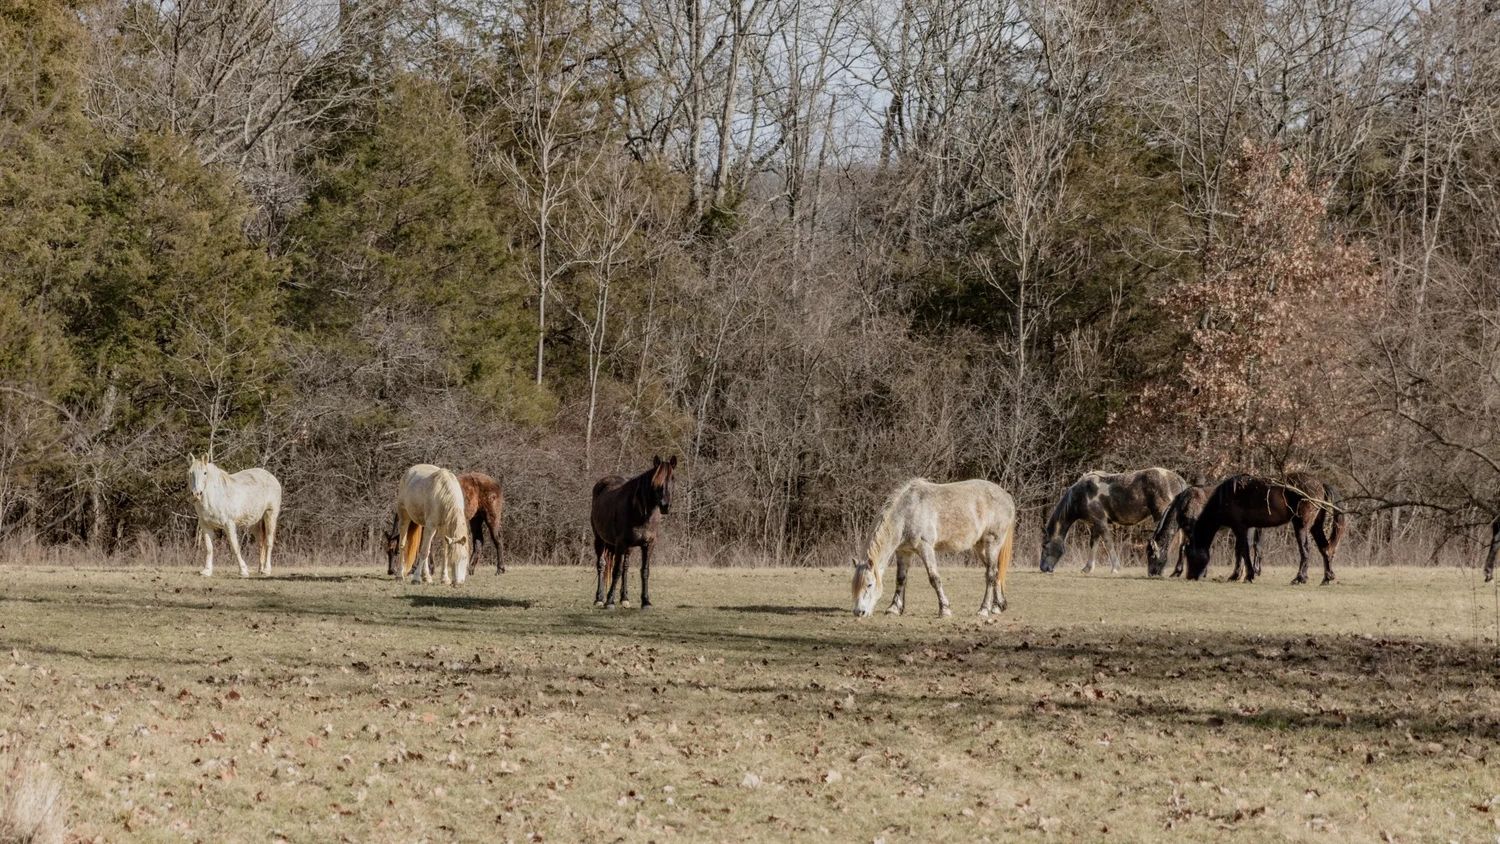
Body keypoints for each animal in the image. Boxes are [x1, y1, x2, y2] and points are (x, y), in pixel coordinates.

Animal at [591, 456, 677, 609]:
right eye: (656, 481)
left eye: (673, 478)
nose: (665, 505)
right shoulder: (620, 544)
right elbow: (616, 571)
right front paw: (610, 601)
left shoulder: (649, 544)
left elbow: (644, 571)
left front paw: (646, 601)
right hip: (600, 540)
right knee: (601, 565)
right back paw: (599, 599)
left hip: (628, 547)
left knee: (626, 567)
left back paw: (625, 598)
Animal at [851, 478, 1017, 618]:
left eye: (870, 584)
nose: (859, 612)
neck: (907, 513)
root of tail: (1006, 497)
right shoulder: (903, 551)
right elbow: (901, 579)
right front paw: (894, 608)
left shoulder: (926, 548)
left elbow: (934, 578)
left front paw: (944, 609)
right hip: (980, 547)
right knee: (995, 571)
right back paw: (997, 606)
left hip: (992, 544)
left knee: (990, 575)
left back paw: (984, 609)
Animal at [1039, 468, 1187, 573]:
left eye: (1044, 546)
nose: (1043, 568)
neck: (1081, 495)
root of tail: (1177, 479)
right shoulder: (1095, 525)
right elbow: (1093, 545)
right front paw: (1087, 568)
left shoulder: (1101, 523)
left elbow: (1108, 543)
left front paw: (1115, 568)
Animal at [1185, 473, 1345, 585]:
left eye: (1190, 555)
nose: (1190, 577)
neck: (1227, 495)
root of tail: (1320, 483)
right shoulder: (1248, 528)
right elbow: (1242, 550)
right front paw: (1239, 575)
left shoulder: (1239, 527)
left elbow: (1243, 550)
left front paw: (1246, 575)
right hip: (1315, 526)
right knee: (1325, 548)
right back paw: (1327, 578)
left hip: (1301, 526)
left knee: (1305, 550)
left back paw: (1300, 578)